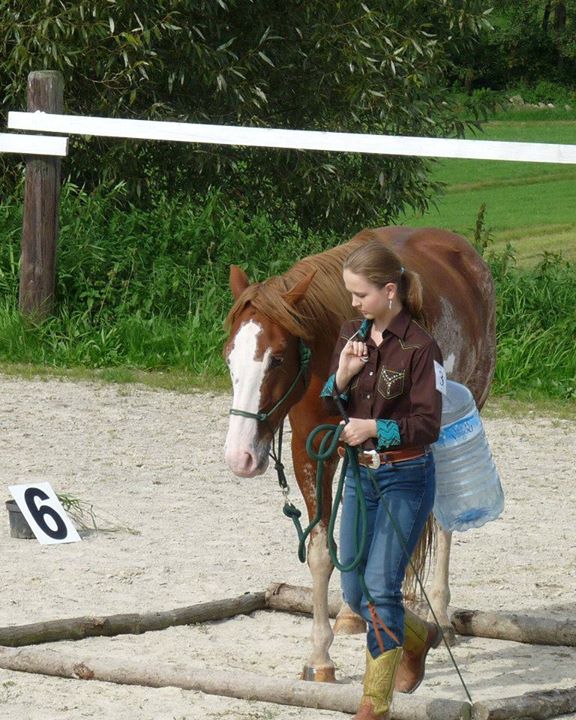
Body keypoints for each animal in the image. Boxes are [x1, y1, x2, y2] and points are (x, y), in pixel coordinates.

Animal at [224, 226, 496, 680]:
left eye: (276, 358)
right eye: (230, 357)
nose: (239, 457)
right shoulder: (311, 447)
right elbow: (322, 553)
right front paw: (320, 657)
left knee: (443, 523)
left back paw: (439, 615)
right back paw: (353, 616)